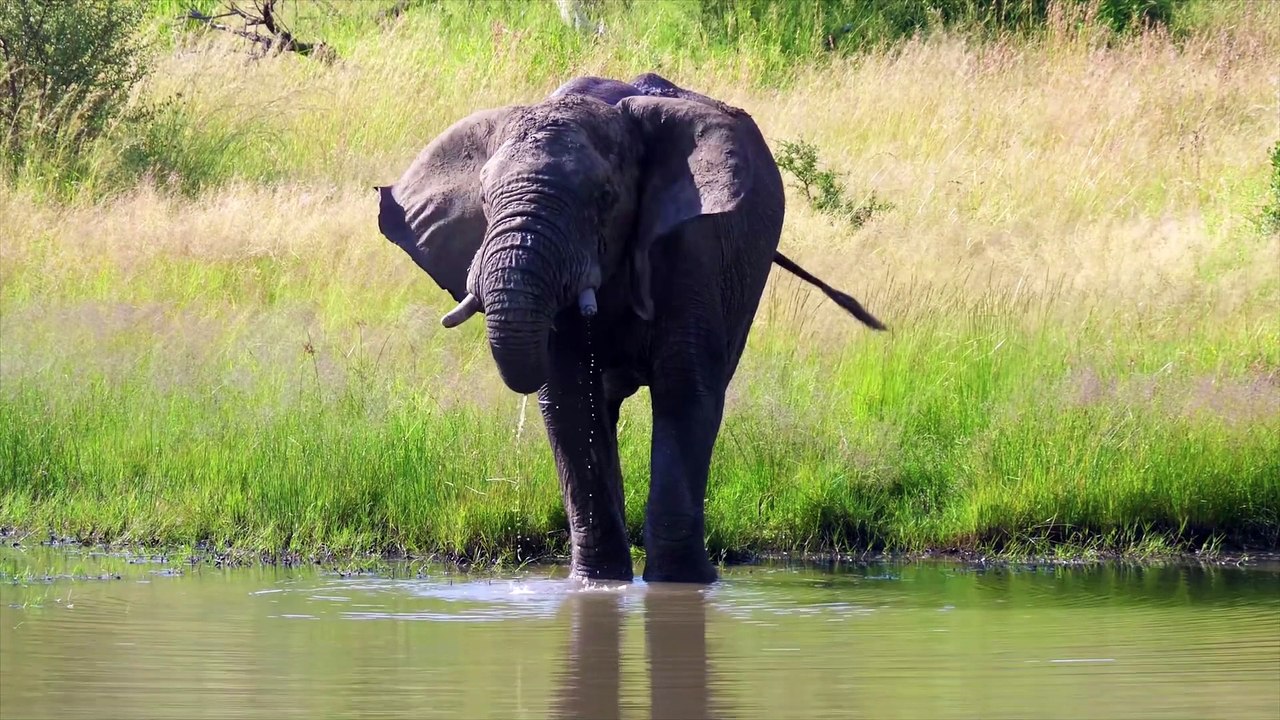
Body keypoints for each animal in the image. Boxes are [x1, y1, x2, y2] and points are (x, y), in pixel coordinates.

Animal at [375, 73, 884, 584]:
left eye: (604, 199)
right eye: (483, 199)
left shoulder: (691, 246)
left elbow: (685, 389)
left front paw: (682, 584)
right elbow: (571, 399)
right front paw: (599, 583)